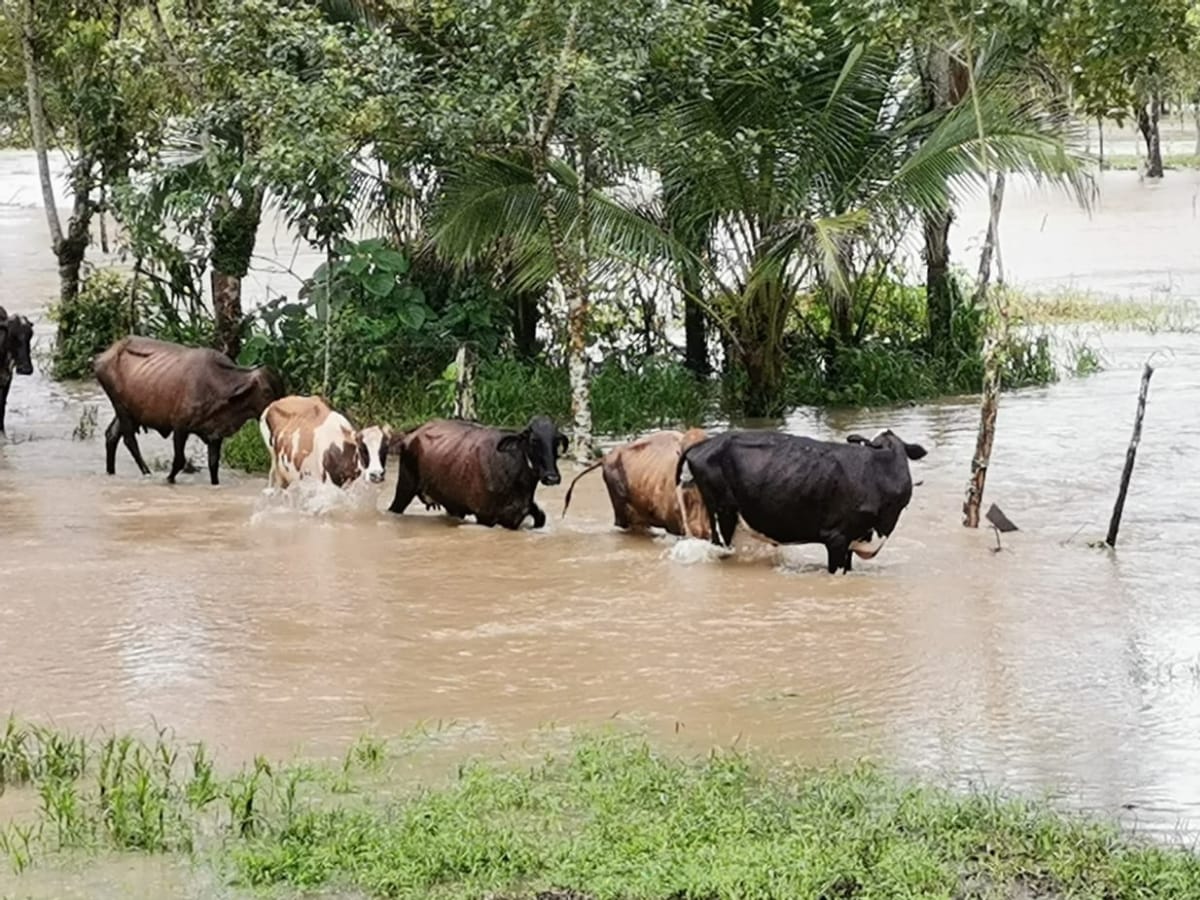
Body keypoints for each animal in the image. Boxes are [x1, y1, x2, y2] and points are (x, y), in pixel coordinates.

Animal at [93, 336, 283, 487]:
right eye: (267, 391)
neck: (218, 386)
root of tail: (105, 354)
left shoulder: (215, 435)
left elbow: (213, 464)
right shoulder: (180, 427)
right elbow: (179, 460)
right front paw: (168, 480)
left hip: (127, 411)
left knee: (111, 436)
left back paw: (111, 472)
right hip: (121, 408)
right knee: (129, 441)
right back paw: (146, 473)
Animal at [388, 420, 566, 532]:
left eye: (557, 441)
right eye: (534, 440)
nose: (552, 477)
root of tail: (411, 434)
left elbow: (541, 516)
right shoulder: (485, 516)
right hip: (405, 487)